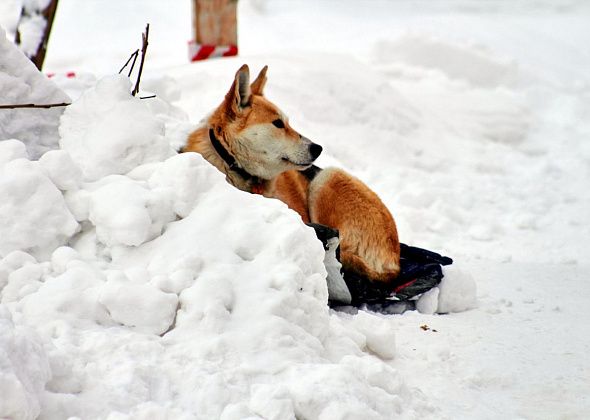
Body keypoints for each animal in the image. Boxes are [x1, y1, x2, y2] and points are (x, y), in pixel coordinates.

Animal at [183, 64, 400, 292]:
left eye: (287, 122)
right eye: (278, 123)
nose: (318, 148)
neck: (238, 168)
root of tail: (394, 264)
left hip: (326, 178)